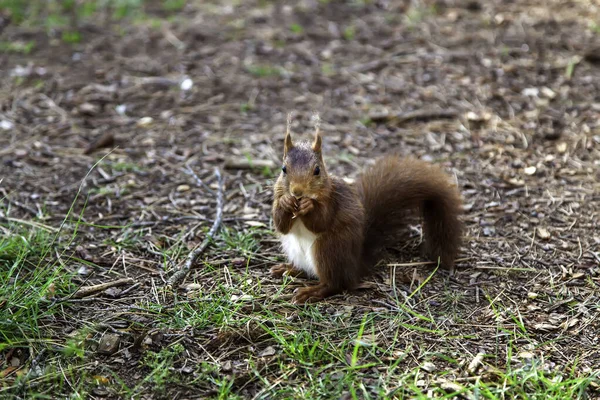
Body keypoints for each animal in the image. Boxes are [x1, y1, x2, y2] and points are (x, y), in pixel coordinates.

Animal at [272, 115, 464, 304]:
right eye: (283, 169)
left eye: (317, 170)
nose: (297, 192)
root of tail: (355, 266)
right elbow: (280, 224)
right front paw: (285, 202)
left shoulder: (332, 201)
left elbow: (321, 221)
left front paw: (308, 205)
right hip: (295, 249)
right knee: (309, 271)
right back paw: (288, 268)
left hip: (329, 250)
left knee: (335, 283)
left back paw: (312, 292)